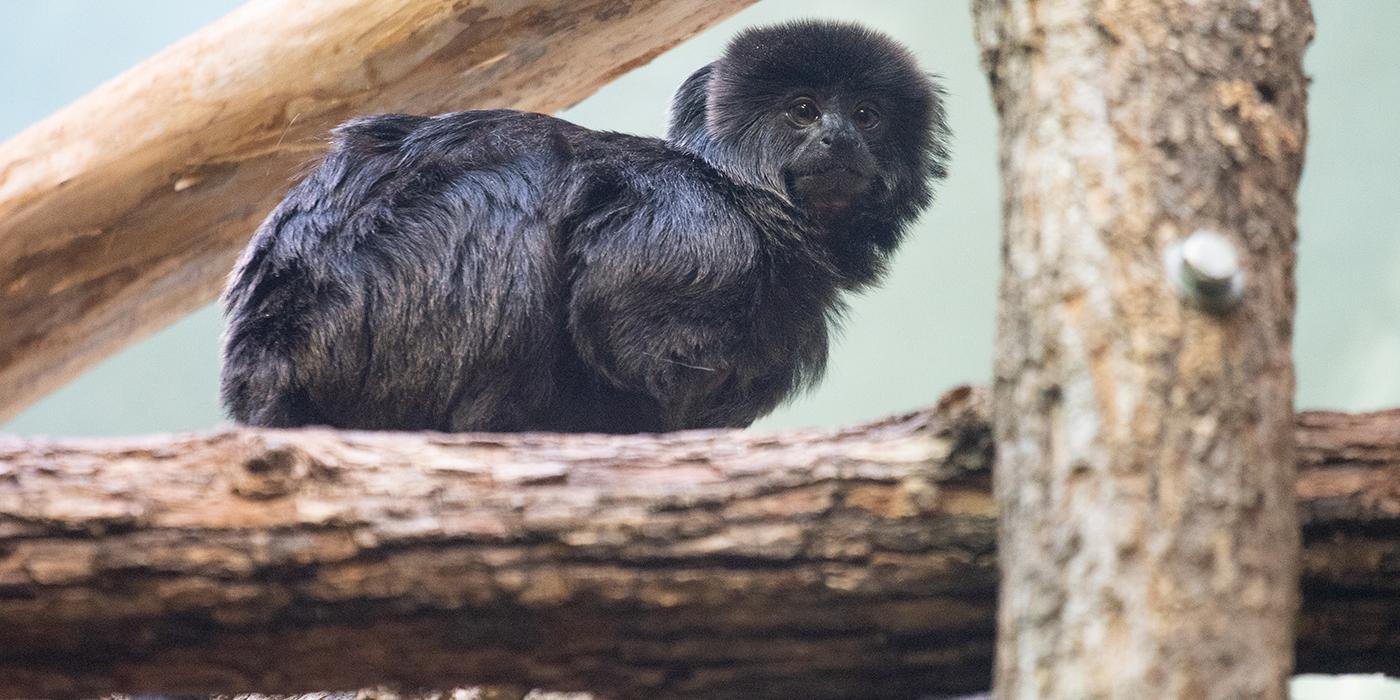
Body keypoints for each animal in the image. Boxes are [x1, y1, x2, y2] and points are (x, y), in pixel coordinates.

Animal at [224, 20, 952, 431]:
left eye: (866, 117)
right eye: (804, 111)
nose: (839, 138)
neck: (748, 202)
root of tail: (268, 359)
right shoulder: (695, 231)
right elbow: (615, 323)